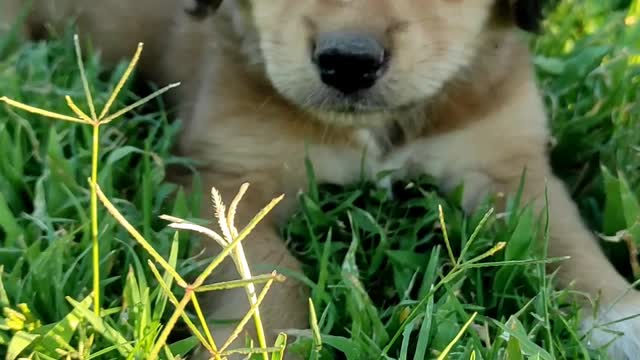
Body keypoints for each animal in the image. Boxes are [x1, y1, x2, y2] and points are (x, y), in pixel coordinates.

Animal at [5, 0, 640, 360]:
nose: (348, 62)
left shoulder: (509, 159)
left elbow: (565, 239)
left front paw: (618, 321)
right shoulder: (227, 179)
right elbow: (262, 271)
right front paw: (264, 347)